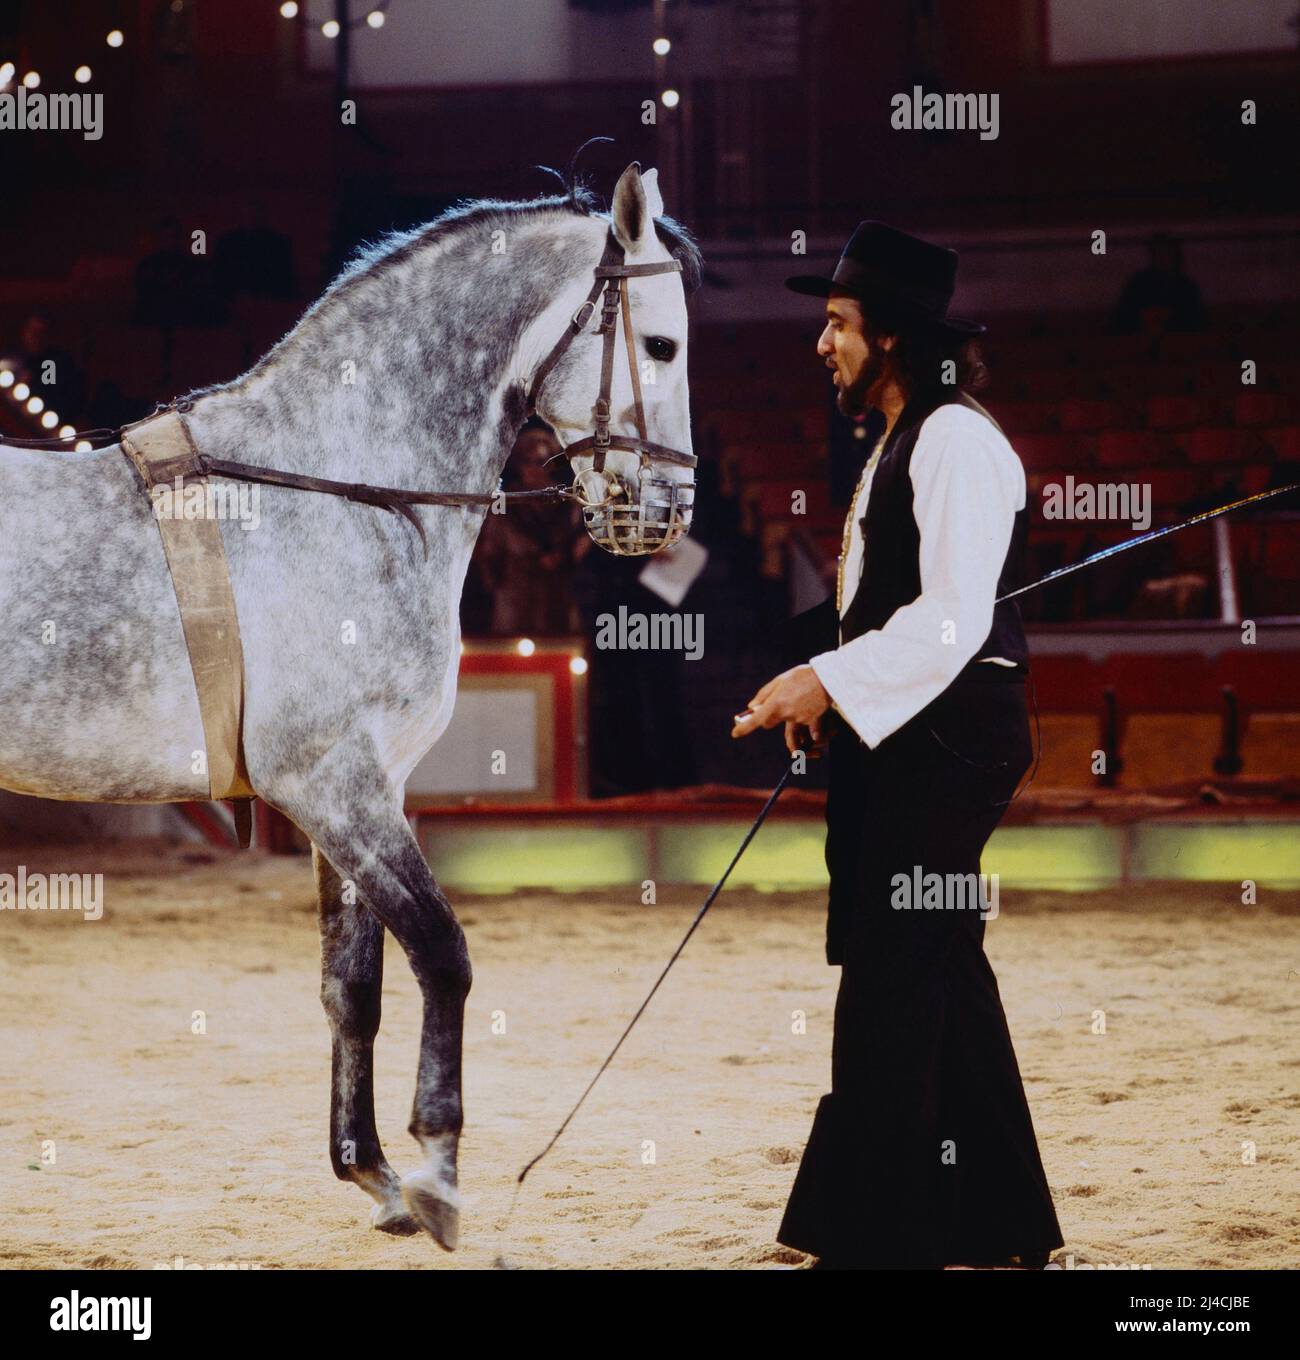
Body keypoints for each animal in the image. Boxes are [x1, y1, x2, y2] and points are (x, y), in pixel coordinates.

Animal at [0, 162, 700, 1249]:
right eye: (661, 343)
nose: (667, 512)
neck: (339, 491)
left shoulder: (361, 790)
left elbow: (353, 984)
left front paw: (370, 1171)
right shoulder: (332, 783)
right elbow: (442, 953)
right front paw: (440, 1170)